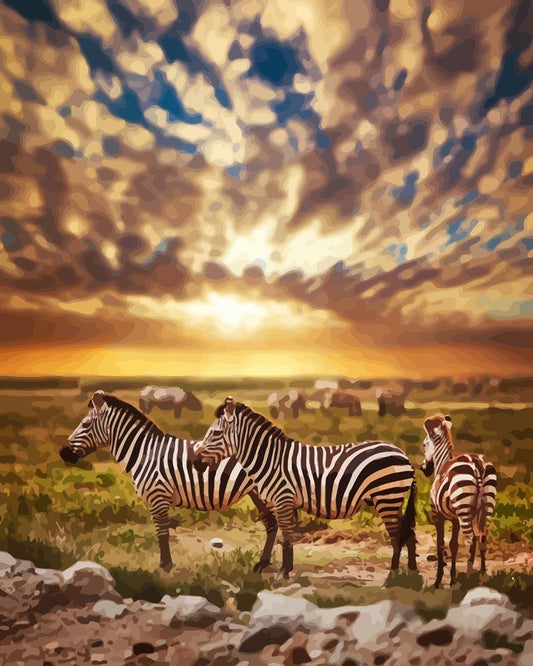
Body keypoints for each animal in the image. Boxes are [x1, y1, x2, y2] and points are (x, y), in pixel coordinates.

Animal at [60, 391, 278, 572]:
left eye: (85, 425)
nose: (63, 453)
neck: (144, 452)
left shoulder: (158, 495)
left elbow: (162, 533)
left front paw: (165, 566)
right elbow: (162, 532)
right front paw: (166, 564)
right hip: (258, 493)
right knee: (271, 524)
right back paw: (263, 563)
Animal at [192, 397, 418, 578]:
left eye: (216, 433)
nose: (194, 462)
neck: (270, 460)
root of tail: (403, 455)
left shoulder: (283, 499)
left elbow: (286, 537)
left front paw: (284, 573)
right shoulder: (277, 502)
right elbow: (281, 535)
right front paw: (283, 569)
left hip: (386, 496)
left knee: (396, 536)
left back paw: (392, 575)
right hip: (393, 499)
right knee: (408, 533)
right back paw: (411, 573)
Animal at [421, 413, 497, 588]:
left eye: (424, 444)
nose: (424, 469)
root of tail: (477, 465)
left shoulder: (438, 515)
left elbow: (441, 544)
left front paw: (439, 580)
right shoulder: (456, 518)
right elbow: (454, 545)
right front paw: (452, 576)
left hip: (463, 509)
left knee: (469, 539)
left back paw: (468, 576)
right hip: (486, 508)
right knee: (481, 537)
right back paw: (482, 574)